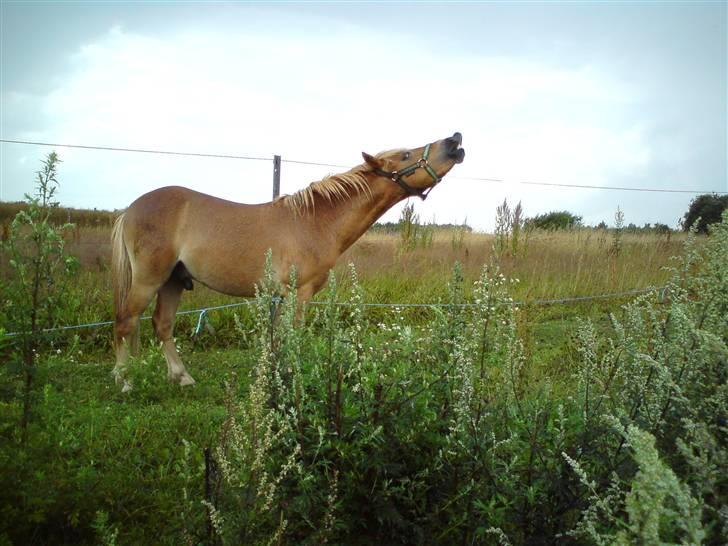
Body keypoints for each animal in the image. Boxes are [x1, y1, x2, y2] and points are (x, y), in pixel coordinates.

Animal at [114, 131, 466, 386]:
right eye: (406, 155)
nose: (455, 139)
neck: (315, 221)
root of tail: (131, 209)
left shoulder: (281, 296)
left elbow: (277, 341)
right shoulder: (300, 293)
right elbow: (293, 337)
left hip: (173, 280)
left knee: (162, 324)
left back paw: (182, 377)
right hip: (149, 279)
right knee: (125, 320)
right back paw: (124, 380)